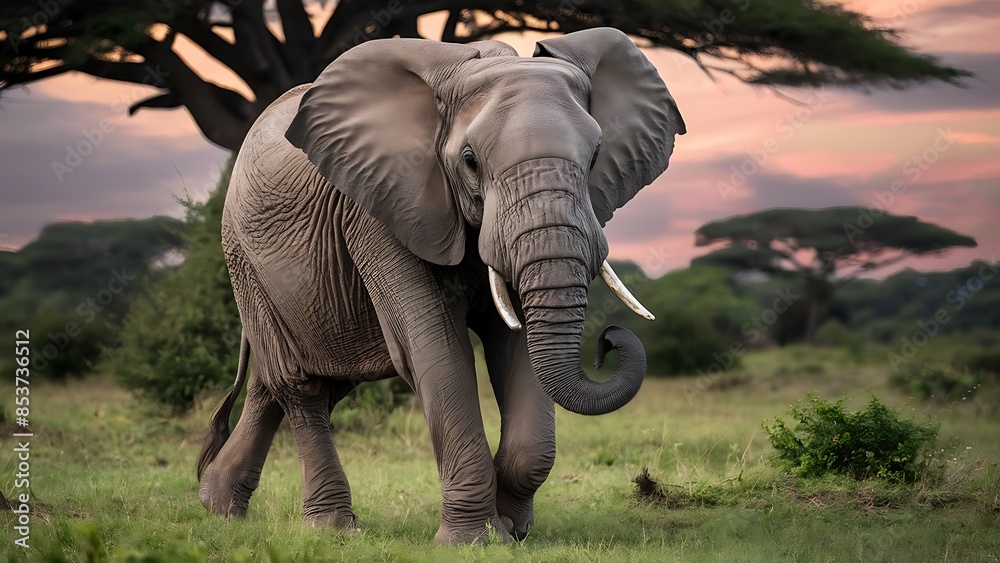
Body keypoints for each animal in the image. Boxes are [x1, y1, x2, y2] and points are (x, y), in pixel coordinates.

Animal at [196, 27, 685, 544]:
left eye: (594, 158)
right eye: (469, 161)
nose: (610, 339)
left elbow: (517, 347)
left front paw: (511, 530)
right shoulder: (381, 206)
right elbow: (435, 348)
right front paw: (474, 541)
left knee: (305, 380)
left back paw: (216, 505)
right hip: (244, 259)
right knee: (300, 385)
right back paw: (330, 528)